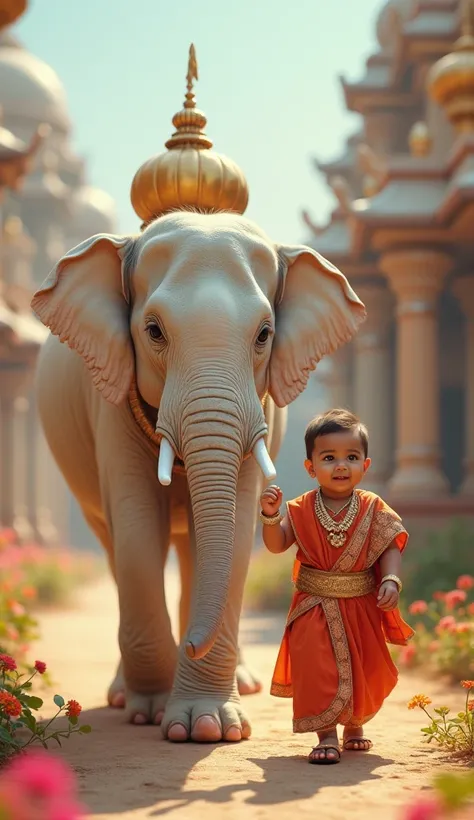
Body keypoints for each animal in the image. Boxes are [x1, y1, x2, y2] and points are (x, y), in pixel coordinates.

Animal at [30, 210, 366, 744]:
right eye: (153, 331)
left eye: (264, 335)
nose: (189, 645)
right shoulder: (110, 406)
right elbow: (137, 525)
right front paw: (151, 712)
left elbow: (237, 526)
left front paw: (207, 728)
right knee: (114, 545)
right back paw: (128, 693)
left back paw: (239, 682)